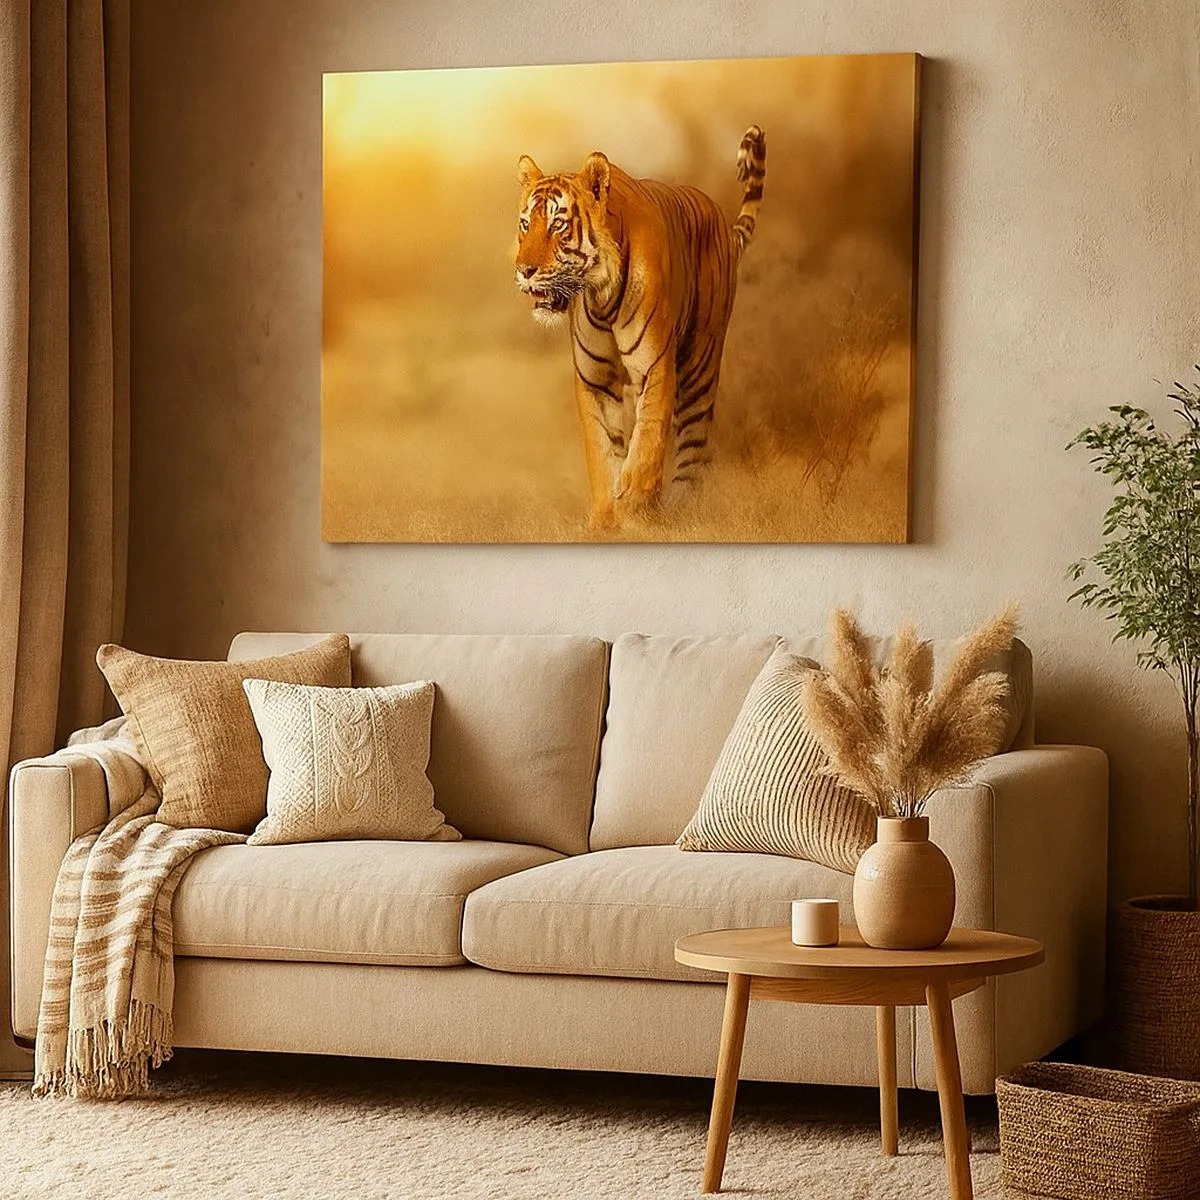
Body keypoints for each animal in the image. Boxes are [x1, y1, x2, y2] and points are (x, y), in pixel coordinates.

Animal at [513, 126, 767, 530]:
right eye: (525, 224)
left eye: (558, 224)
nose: (524, 270)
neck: (600, 294)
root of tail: (723, 224)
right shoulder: (595, 379)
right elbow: (602, 452)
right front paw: (605, 519)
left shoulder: (655, 365)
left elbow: (648, 441)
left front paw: (634, 506)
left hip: (700, 366)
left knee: (693, 444)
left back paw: (682, 509)